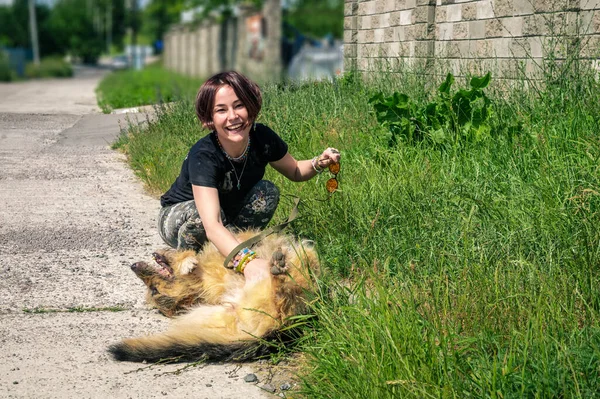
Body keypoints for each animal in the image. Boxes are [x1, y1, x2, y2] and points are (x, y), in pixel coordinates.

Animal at [109, 230, 322, 364]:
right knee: (285, 294)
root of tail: (278, 332)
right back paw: (279, 274)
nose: (133, 266)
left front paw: (184, 261)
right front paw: (187, 263)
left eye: (153, 289)